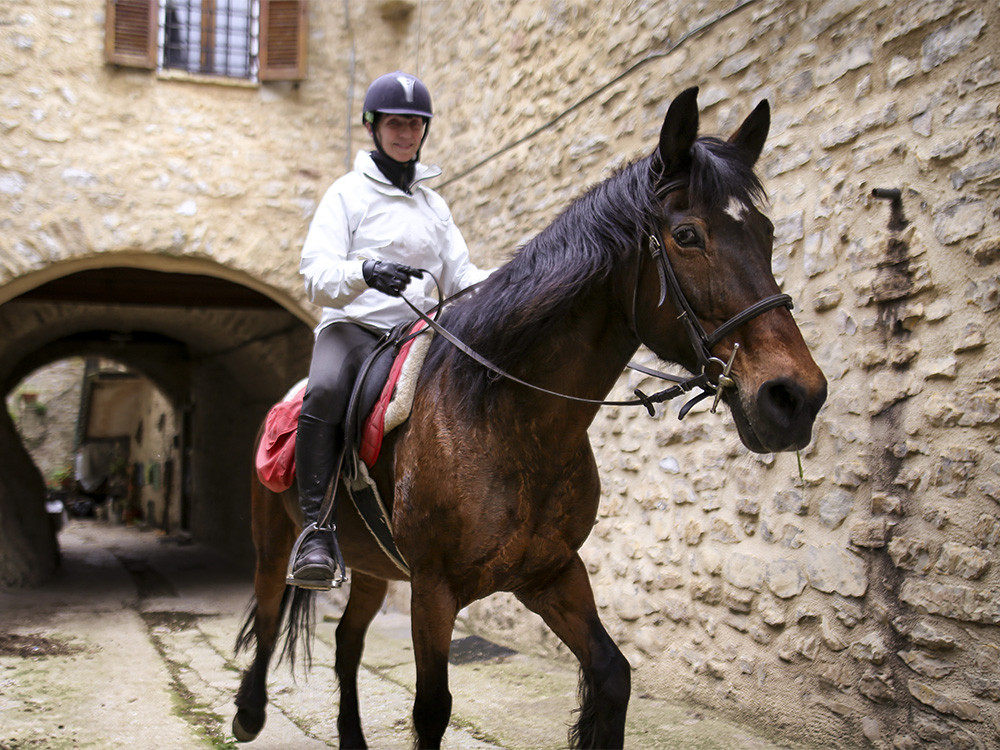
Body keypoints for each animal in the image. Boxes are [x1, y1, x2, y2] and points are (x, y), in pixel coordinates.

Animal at [232, 89, 828, 750]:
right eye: (687, 234)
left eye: (767, 233)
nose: (794, 397)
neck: (510, 422)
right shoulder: (434, 590)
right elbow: (431, 709)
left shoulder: (551, 573)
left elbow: (612, 675)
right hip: (274, 542)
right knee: (267, 616)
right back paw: (248, 712)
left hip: (371, 567)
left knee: (345, 643)